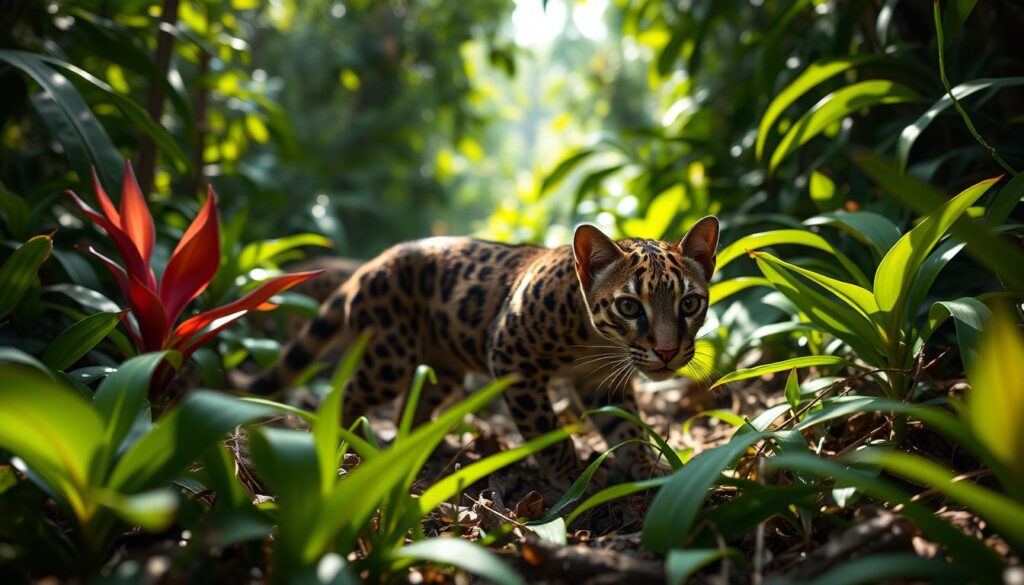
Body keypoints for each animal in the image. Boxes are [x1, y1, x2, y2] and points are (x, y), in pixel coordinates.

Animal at [246, 217, 720, 487]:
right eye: (629, 306)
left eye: (689, 303)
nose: (667, 351)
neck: (596, 343)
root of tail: (368, 265)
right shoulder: (512, 358)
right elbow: (547, 431)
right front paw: (573, 477)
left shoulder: (600, 383)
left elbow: (628, 426)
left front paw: (646, 466)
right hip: (390, 360)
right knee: (345, 395)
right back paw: (343, 447)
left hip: (442, 370)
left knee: (409, 408)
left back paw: (418, 449)